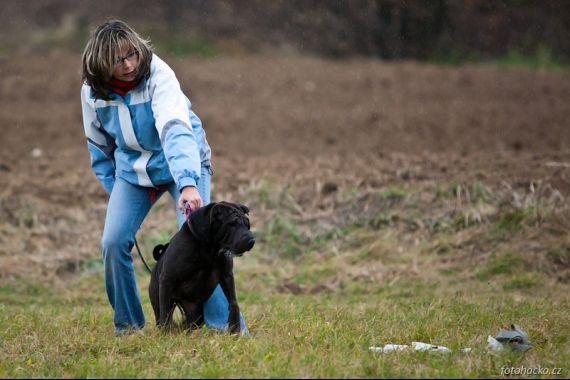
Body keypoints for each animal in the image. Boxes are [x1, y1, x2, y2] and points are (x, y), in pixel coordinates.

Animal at [148, 202, 254, 332]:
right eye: (232, 224)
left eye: (247, 224)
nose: (251, 240)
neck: (209, 247)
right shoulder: (168, 279)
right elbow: (165, 312)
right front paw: (166, 333)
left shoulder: (227, 275)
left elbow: (233, 302)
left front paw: (235, 328)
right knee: (162, 315)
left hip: (195, 312)